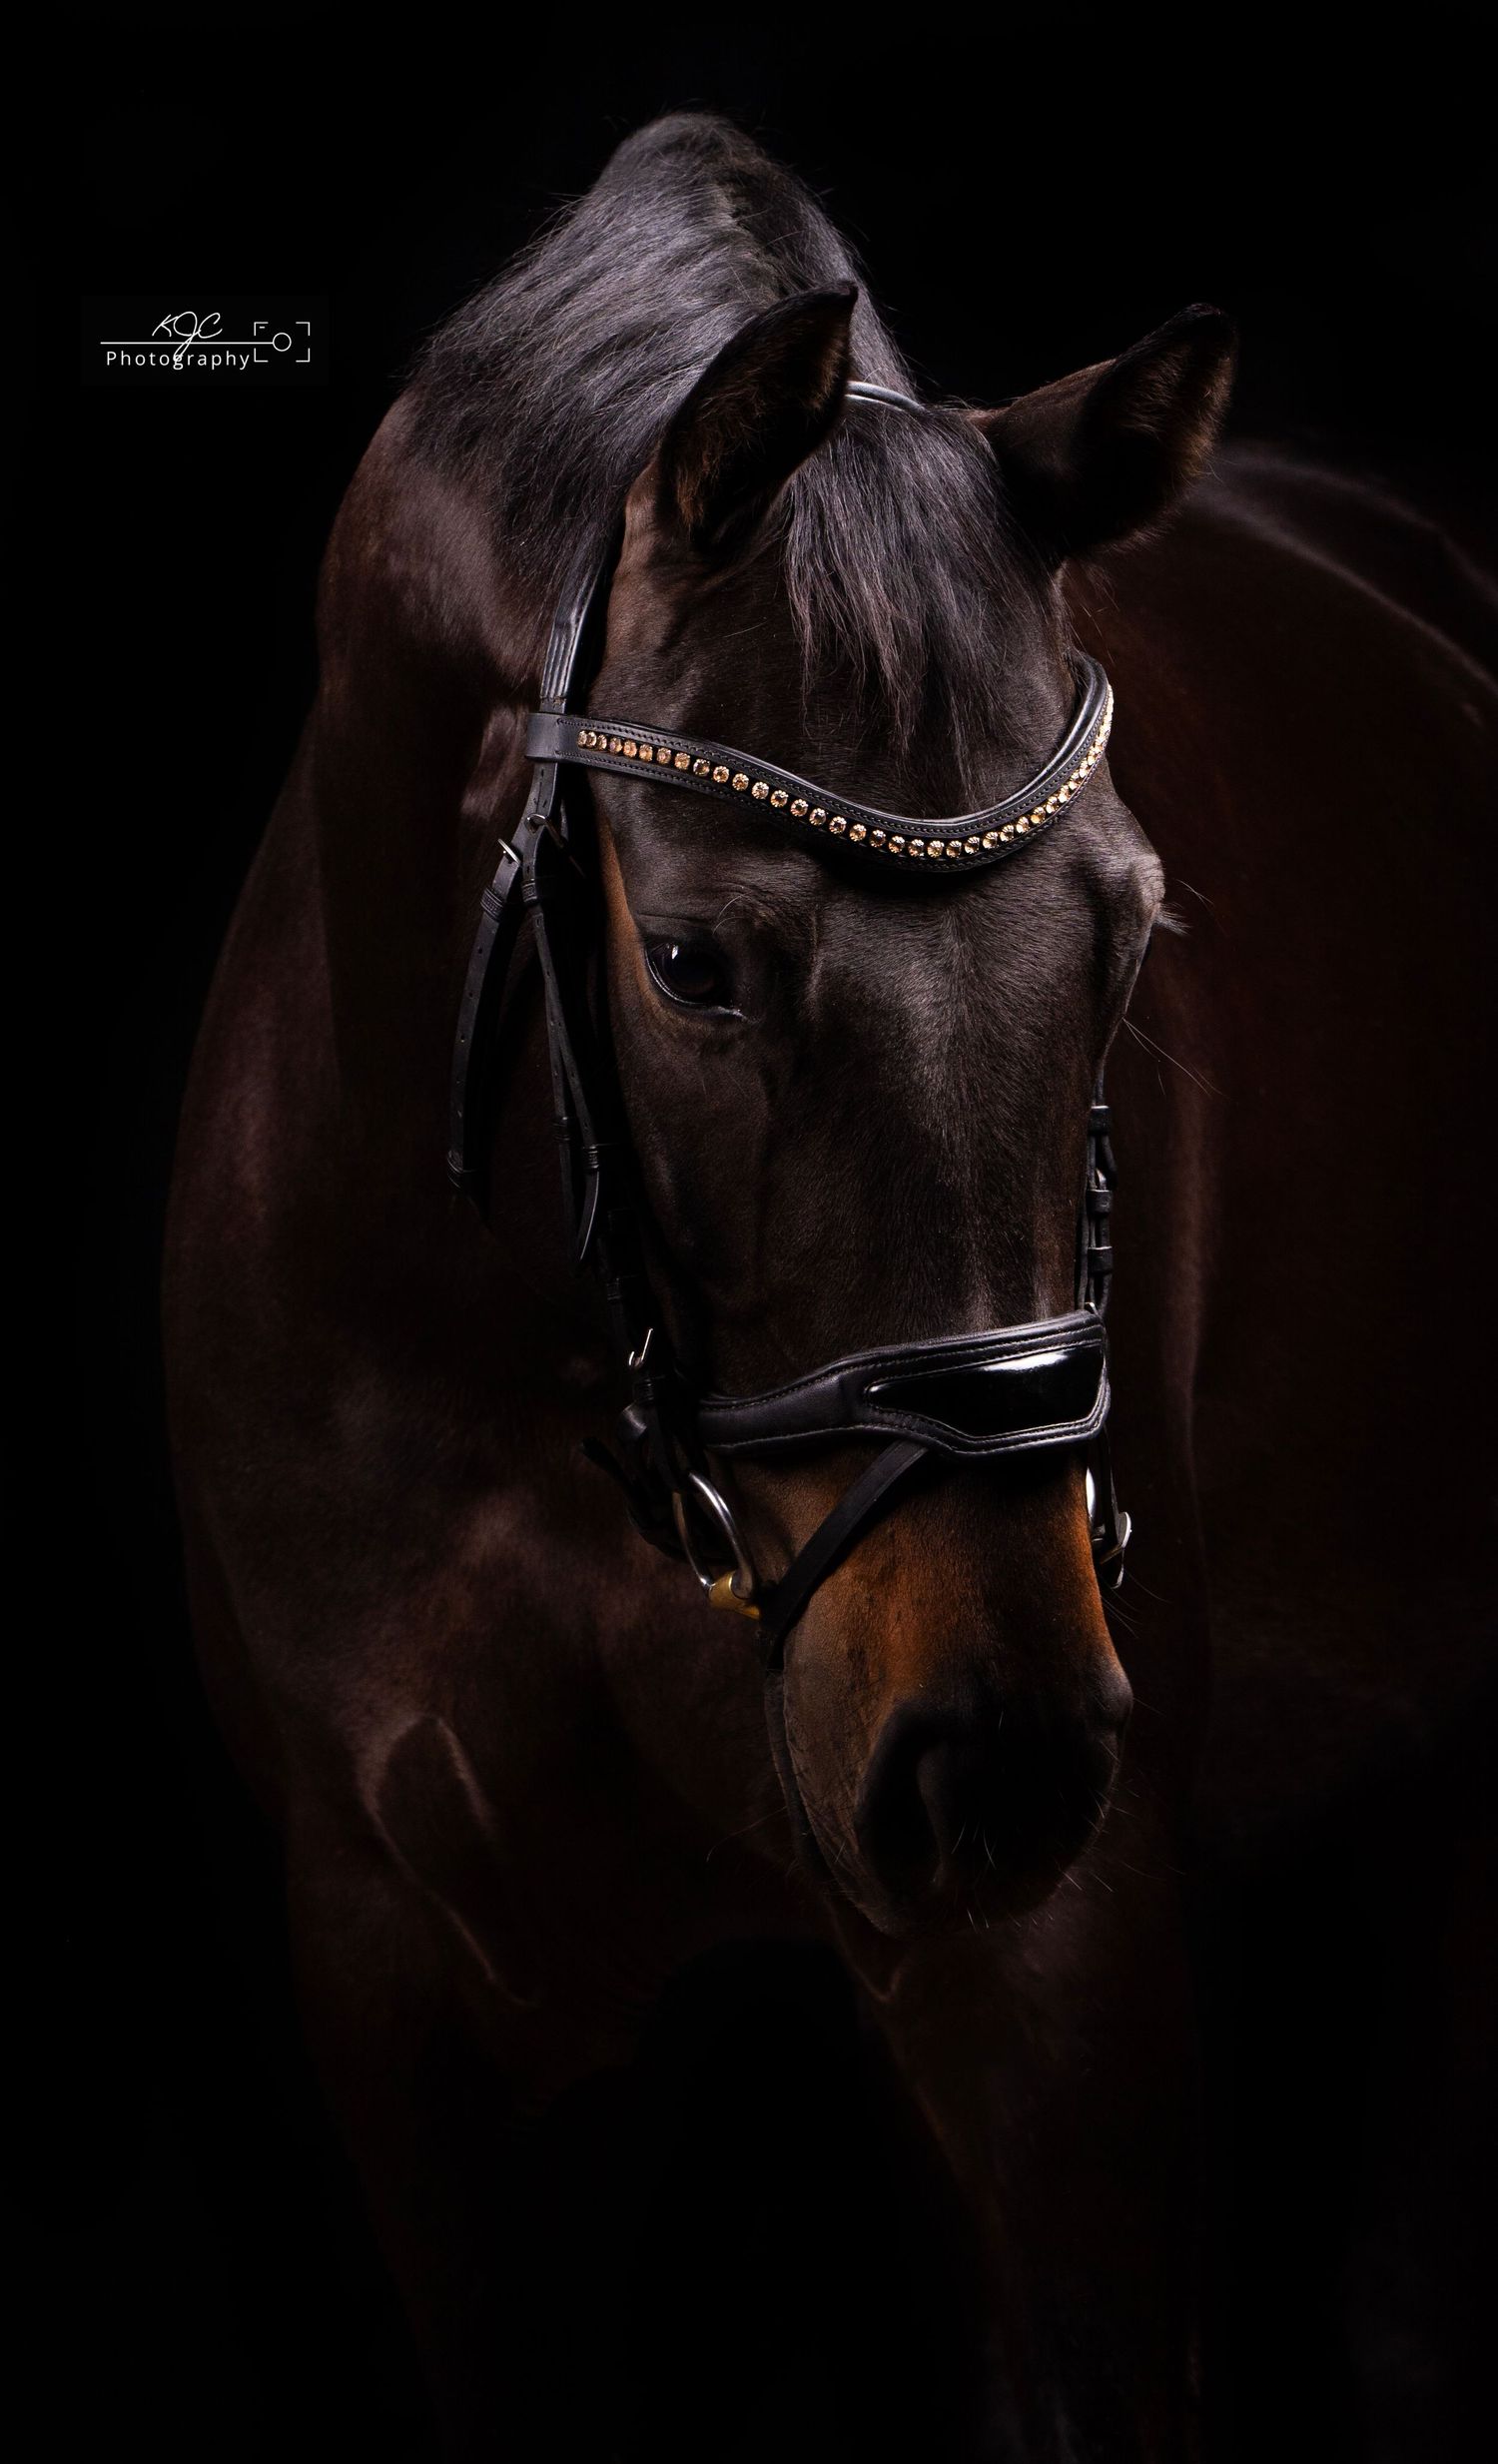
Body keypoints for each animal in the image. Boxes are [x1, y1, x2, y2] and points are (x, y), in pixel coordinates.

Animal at [163, 113, 1496, 2460]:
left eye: (1131, 928)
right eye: (696, 962)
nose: (999, 1755)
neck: (541, 1377)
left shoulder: (1055, 1972)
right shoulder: (409, 1997)